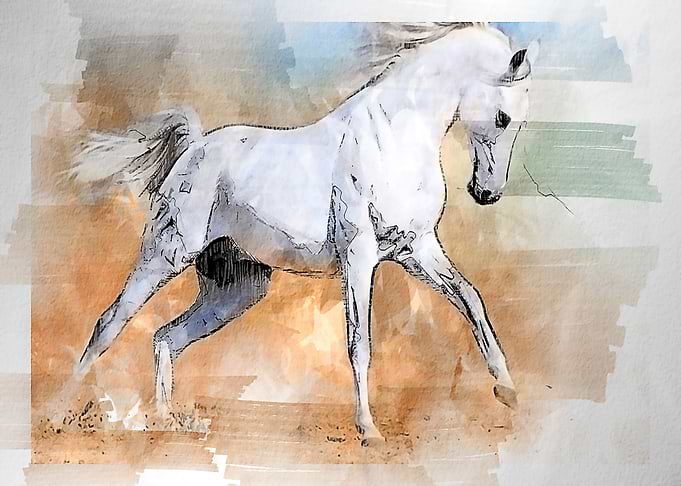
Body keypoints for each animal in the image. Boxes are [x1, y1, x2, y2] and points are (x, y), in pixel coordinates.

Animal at [71, 23, 538, 446]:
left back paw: (168, 422)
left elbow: (471, 299)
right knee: (109, 323)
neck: (393, 138)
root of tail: (195, 147)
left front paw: (507, 390)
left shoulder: (416, 249)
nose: (487, 193)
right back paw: (68, 409)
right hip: (166, 255)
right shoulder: (360, 256)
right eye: (503, 118)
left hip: (235, 290)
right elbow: (359, 342)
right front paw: (369, 431)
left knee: (166, 338)